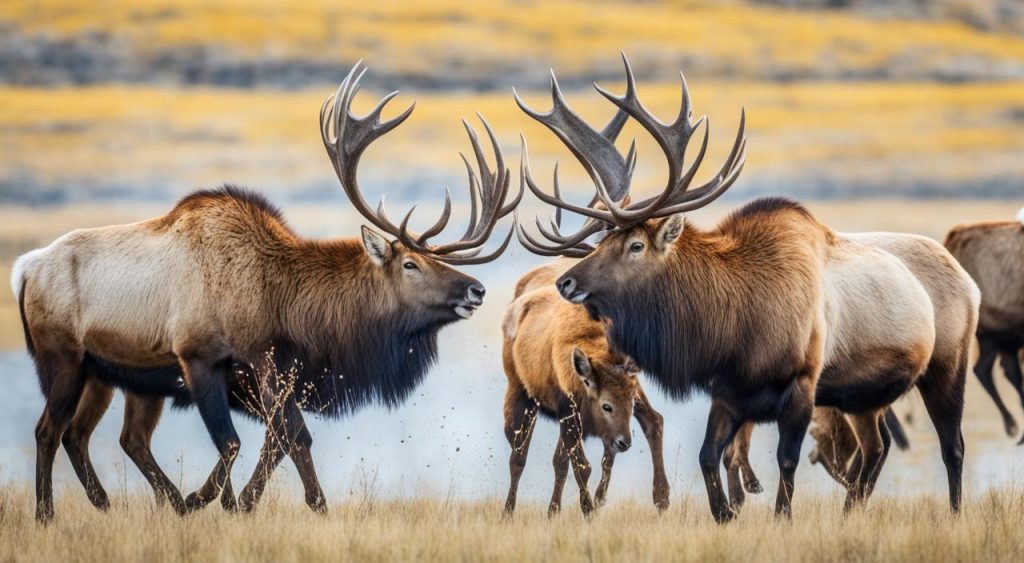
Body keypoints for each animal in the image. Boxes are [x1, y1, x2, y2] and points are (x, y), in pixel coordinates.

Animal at [11, 59, 516, 524]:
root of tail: (25, 270)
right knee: (49, 430)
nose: (476, 290)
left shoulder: (273, 368)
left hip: (118, 375)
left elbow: (288, 437)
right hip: (64, 358)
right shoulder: (201, 357)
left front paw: (287, 503)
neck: (285, 306)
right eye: (411, 264)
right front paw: (221, 500)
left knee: (104, 436)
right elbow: (240, 441)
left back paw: (127, 503)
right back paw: (49, 512)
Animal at [497, 262, 667, 517]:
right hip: (523, 393)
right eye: (606, 406)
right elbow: (580, 465)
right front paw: (588, 510)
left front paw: (589, 507)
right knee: (522, 455)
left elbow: (572, 461)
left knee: (652, 421)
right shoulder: (567, 411)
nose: (625, 442)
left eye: (629, 403)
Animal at [516, 55, 978, 524]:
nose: (565, 280)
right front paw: (724, 512)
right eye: (601, 242)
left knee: (952, 446)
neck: (734, 322)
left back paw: (956, 511)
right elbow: (707, 455)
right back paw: (851, 510)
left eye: (635, 245)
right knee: (877, 446)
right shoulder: (730, 390)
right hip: (863, 397)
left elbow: (786, 460)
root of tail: (967, 279)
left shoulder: (802, 381)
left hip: (948, 364)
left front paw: (780, 517)